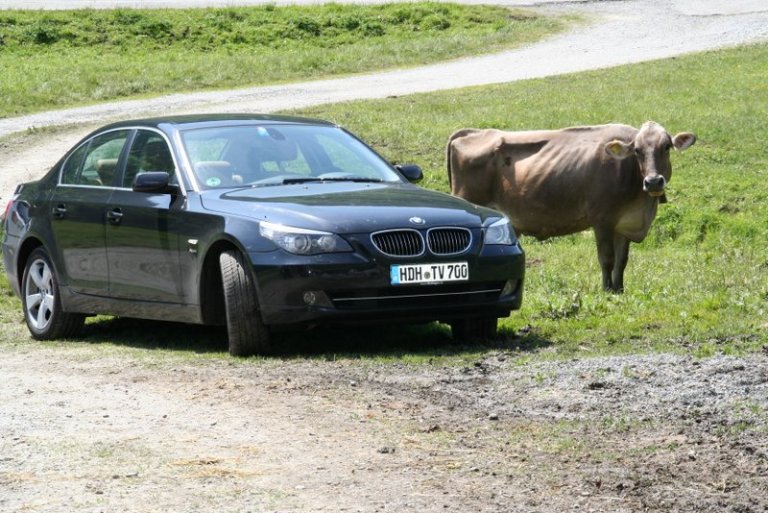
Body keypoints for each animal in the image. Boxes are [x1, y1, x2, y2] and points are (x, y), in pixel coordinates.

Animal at [450, 119, 696, 288]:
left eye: (666, 147)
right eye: (637, 150)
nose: (653, 181)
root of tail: (472, 132)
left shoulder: (624, 223)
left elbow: (622, 261)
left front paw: (619, 289)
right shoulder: (602, 220)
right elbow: (607, 259)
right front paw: (607, 290)